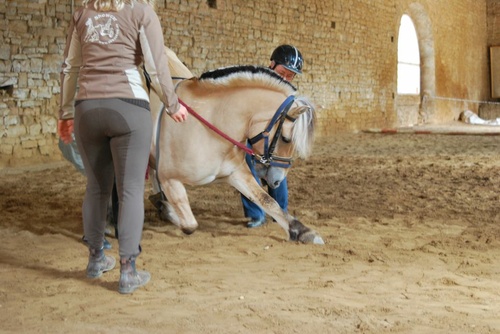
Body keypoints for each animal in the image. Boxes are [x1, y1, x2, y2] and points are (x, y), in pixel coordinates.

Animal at [148, 54, 324, 245]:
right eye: (286, 139)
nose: (277, 181)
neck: (211, 123)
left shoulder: (236, 173)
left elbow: (268, 201)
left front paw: (303, 232)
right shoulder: (169, 178)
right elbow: (190, 225)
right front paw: (165, 208)